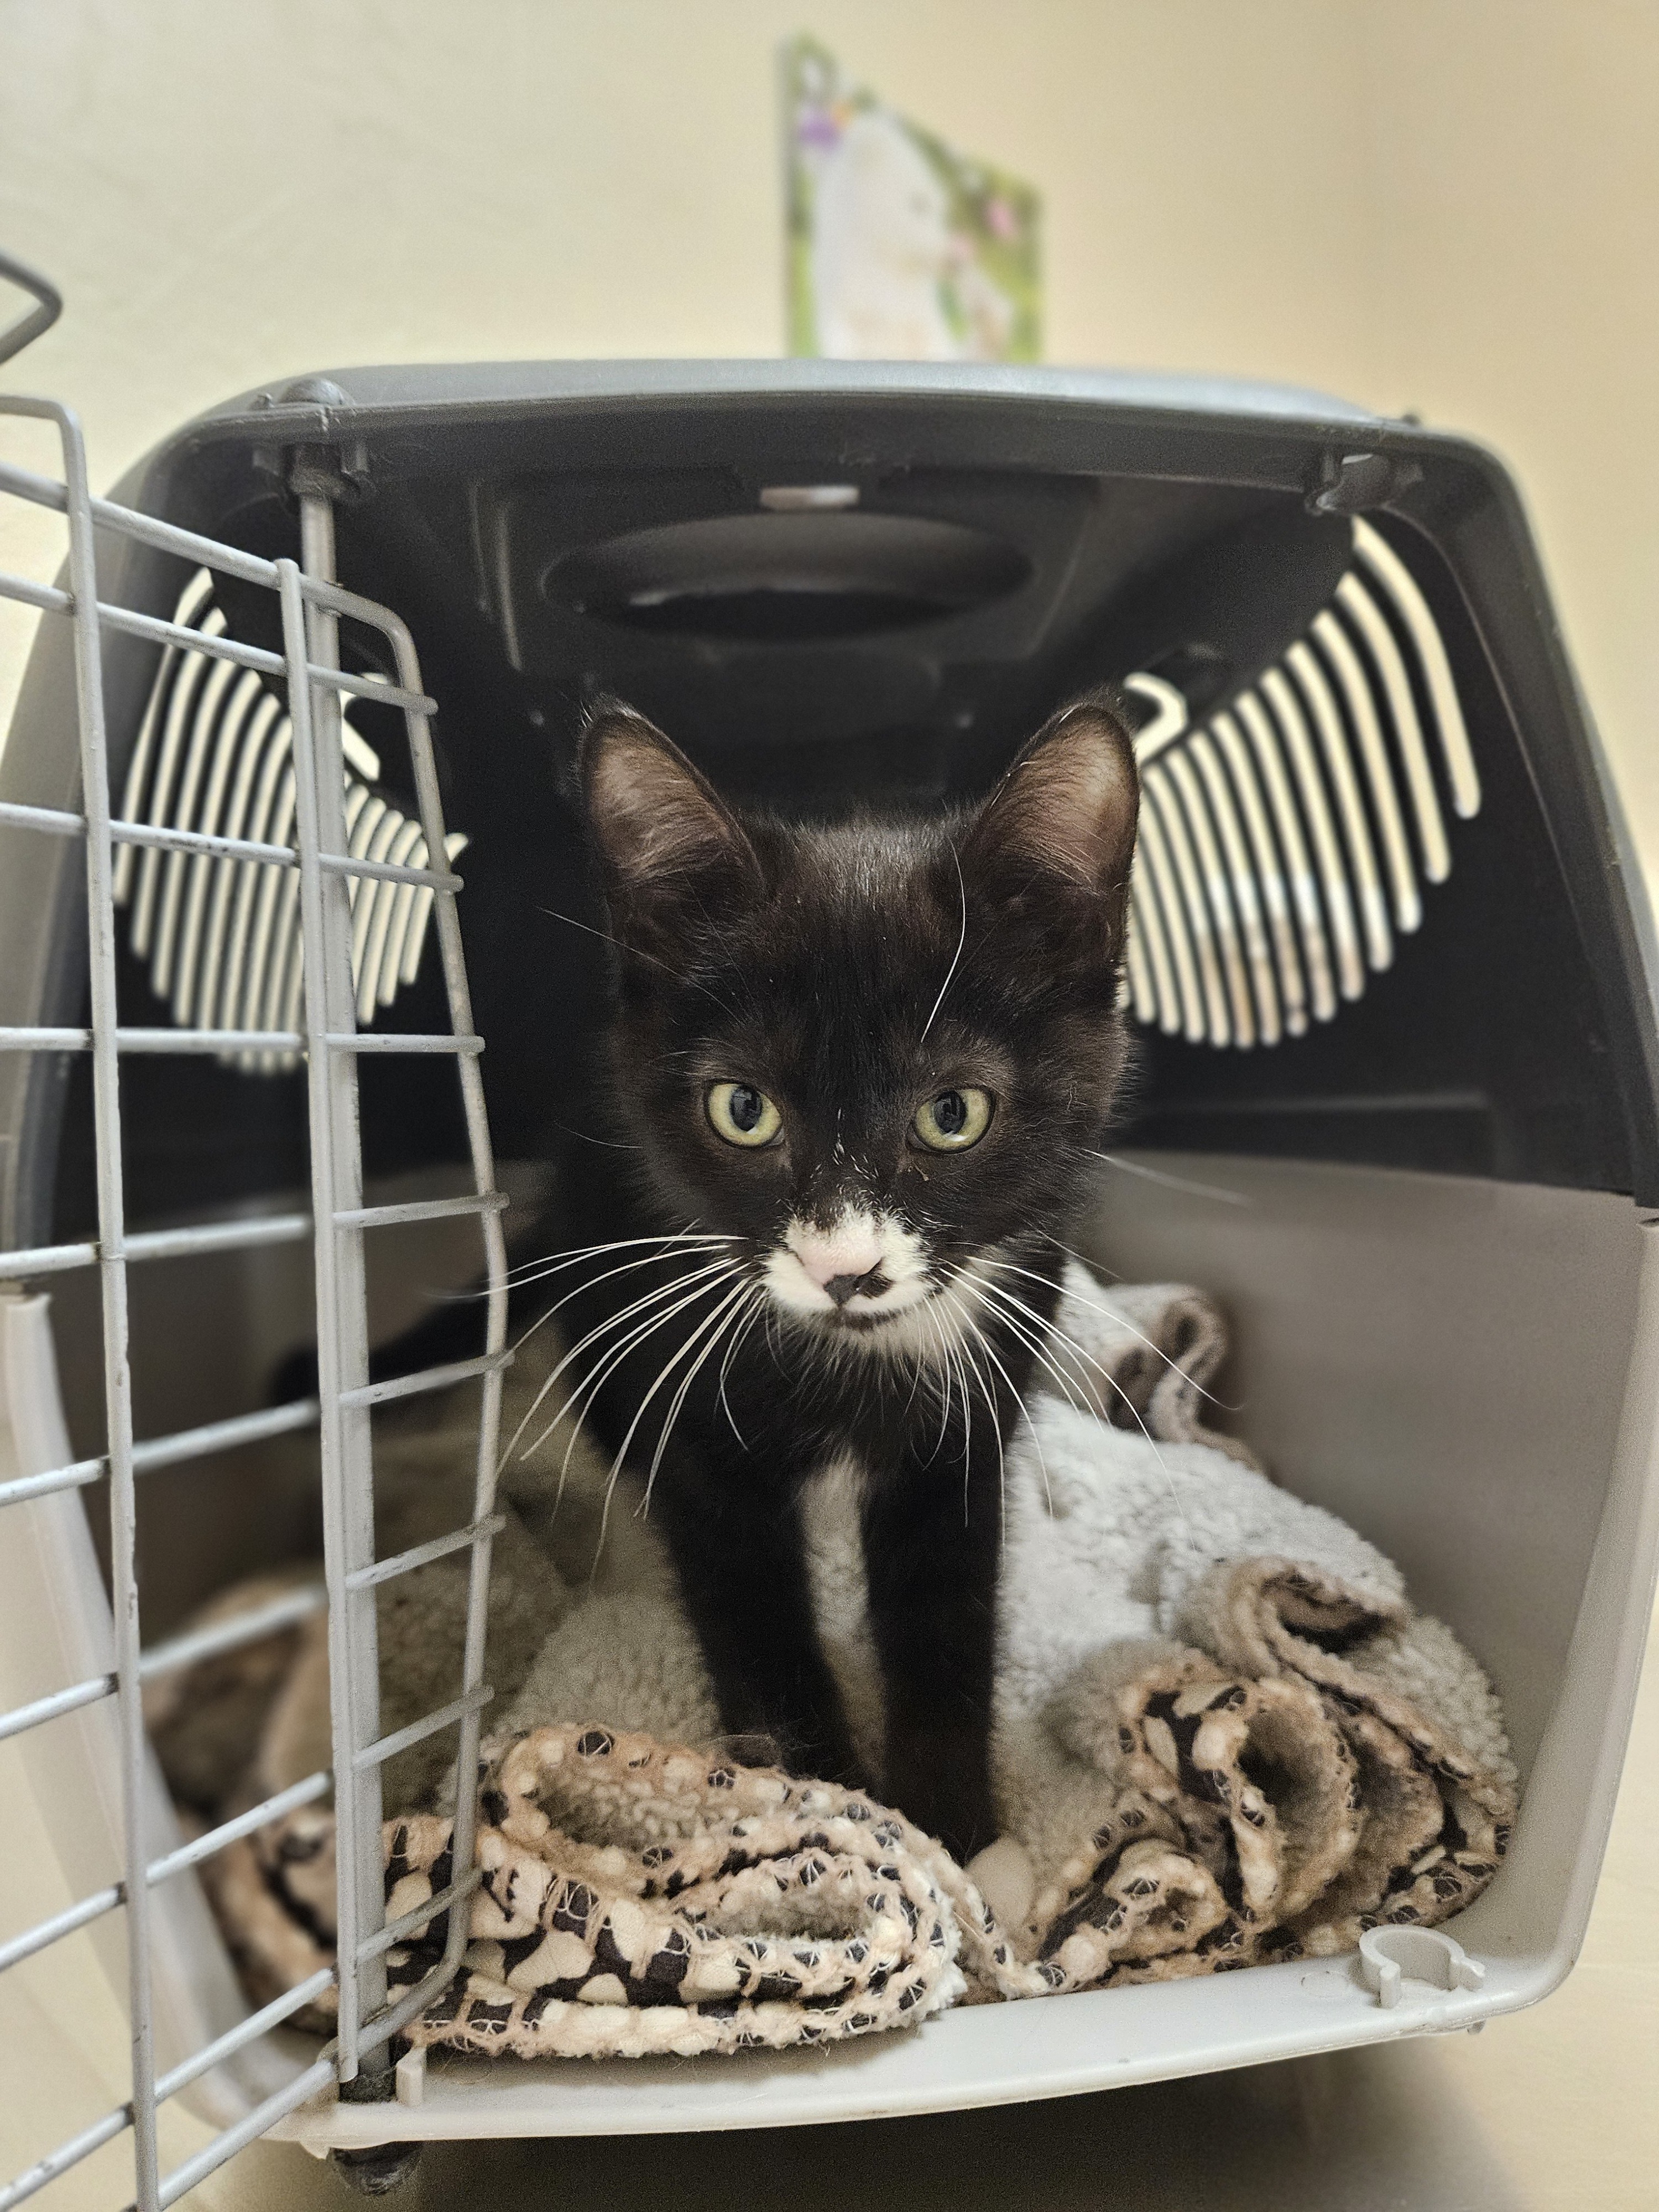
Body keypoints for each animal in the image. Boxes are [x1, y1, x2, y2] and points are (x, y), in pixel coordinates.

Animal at [540, 695, 1141, 1867]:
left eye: (953, 1114)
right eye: (743, 1110)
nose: (845, 1268)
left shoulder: (969, 1429)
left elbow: (947, 1609)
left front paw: (954, 1833)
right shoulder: (697, 1435)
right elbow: (754, 1619)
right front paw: (834, 1820)